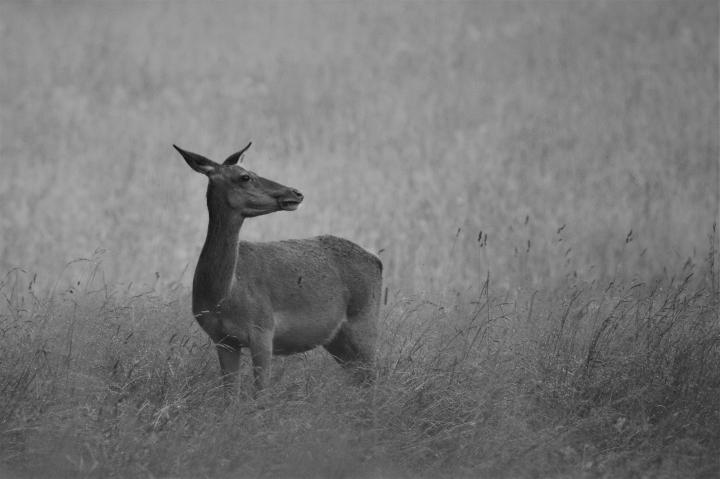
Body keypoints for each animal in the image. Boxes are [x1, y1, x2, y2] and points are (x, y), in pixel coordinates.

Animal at [174, 142, 382, 394]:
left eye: (251, 171)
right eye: (245, 176)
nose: (296, 193)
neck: (224, 296)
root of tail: (377, 261)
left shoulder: (263, 330)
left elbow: (261, 393)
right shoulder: (223, 340)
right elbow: (230, 395)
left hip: (365, 321)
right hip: (337, 338)